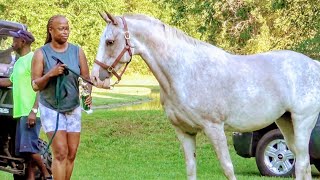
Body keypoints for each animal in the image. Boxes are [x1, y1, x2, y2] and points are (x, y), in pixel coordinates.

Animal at [90, 11, 320, 179]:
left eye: (109, 42)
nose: (95, 78)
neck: (185, 72)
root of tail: (312, 64)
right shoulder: (184, 132)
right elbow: (191, 169)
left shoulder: (214, 128)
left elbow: (227, 168)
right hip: (286, 122)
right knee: (303, 164)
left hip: (302, 121)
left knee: (301, 163)